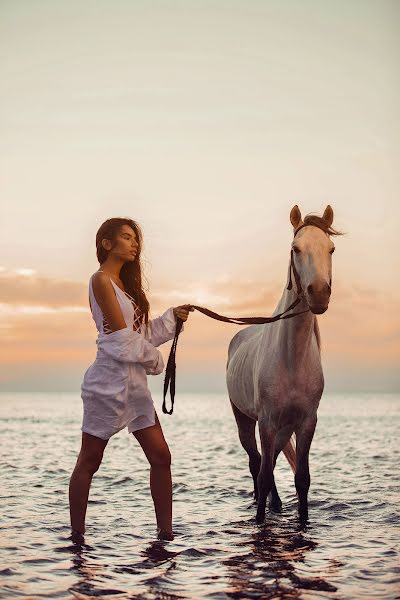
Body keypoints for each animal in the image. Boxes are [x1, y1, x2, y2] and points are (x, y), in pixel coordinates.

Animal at [227, 204, 342, 524]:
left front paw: (302, 521)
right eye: (295, 249)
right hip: (246, 420)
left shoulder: (306, 422)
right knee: (256, 462)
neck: (291, 359)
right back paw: (264, 501)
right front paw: (259, 520)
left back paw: (275, 503)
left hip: (283, 429)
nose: (319, 292)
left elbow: (302, 478)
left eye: (331, 248)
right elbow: (264, 474)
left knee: (270, 459)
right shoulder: (266, 422)